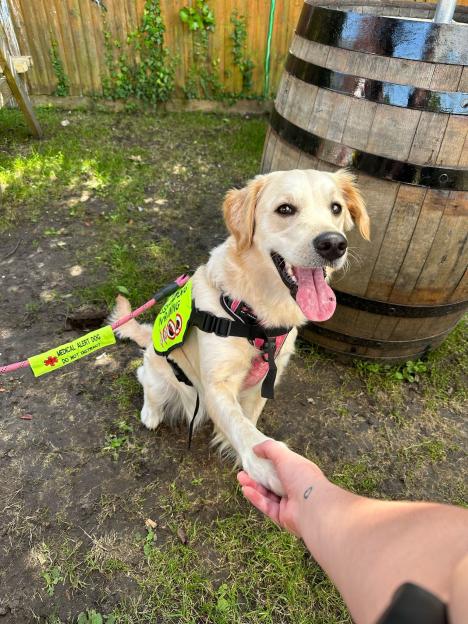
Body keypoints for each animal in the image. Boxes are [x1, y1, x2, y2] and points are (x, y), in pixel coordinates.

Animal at [111, 169, 368, 492]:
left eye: (336, 208)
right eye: (285, 209)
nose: (333, 244)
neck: (256, 315)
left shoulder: (265, 380)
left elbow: (248, 420)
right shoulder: (217, 384)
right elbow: (243, 430)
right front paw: (268, 466)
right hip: (160, 376)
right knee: (145, 379)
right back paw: (150, 414)